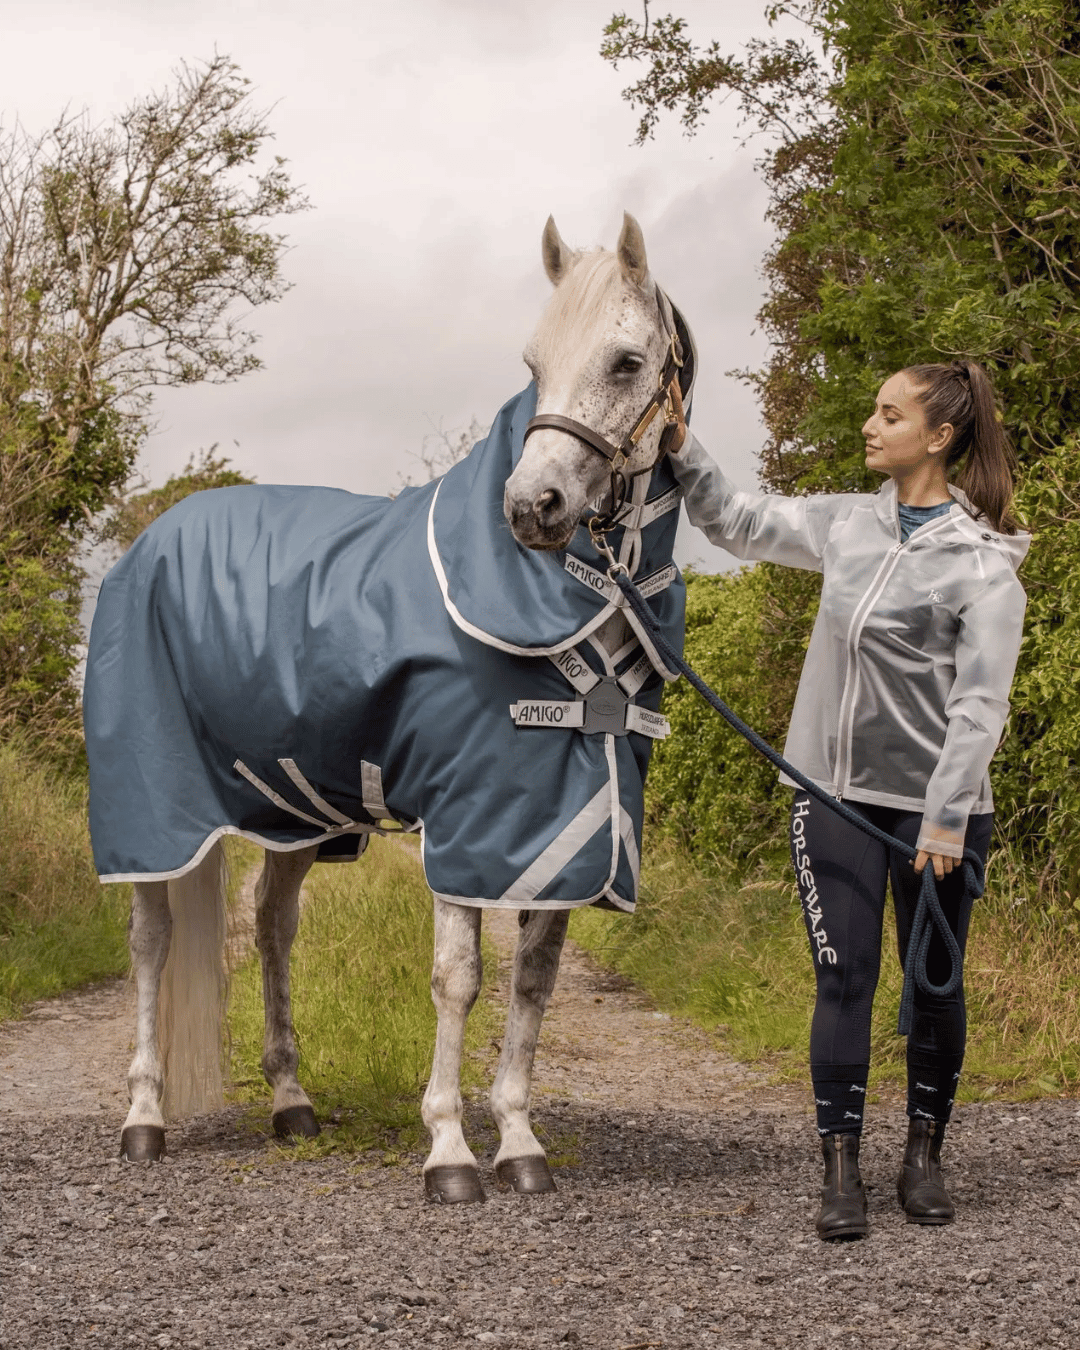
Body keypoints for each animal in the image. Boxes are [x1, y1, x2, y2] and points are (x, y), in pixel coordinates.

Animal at [83, 212, 695, 1204]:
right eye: (533, 362)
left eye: (627, 361)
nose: (533, 507)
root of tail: (147, 544)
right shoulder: (471, 813)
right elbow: (459, 978)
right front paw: (448, 1150)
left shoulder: (567, 823)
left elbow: (534, 979)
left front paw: (518, 1139)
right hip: (157, 811)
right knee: (152, 940)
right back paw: (145, 1115)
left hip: (293, 812)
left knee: (272, 925)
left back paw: (291, 1100)